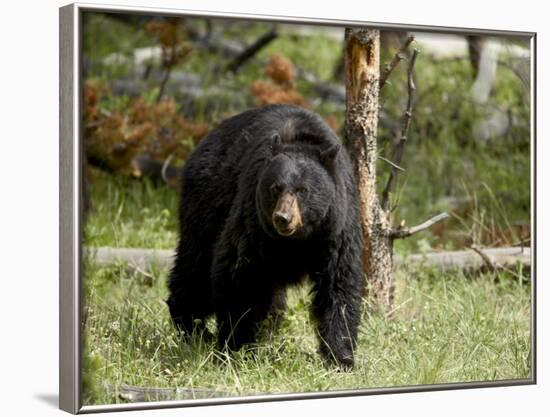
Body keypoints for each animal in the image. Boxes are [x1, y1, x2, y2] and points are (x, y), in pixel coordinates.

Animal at [168, 103, 366, 368]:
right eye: (276, 187)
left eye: (302, 190)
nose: (283, 218)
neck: (297, 240)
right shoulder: (253, 220)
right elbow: (237, 273)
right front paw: (235, 346)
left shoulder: (336, 228)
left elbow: (339, 284)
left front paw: (340, 358)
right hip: (206, 204)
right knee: (195, 269)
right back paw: (193, 328)